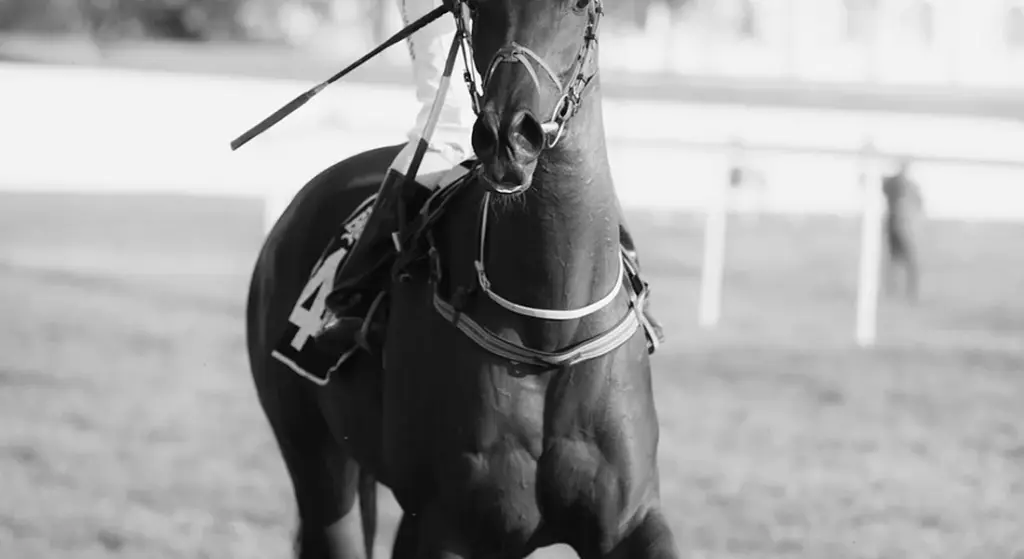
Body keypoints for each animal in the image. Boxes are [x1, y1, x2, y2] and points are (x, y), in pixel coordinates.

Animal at [245, 0, 678, 557]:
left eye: (579, 7)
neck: (550, 330)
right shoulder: (441, 527)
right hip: (315, 460)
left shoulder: (632, 519)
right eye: (479, 8)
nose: (508, 137)